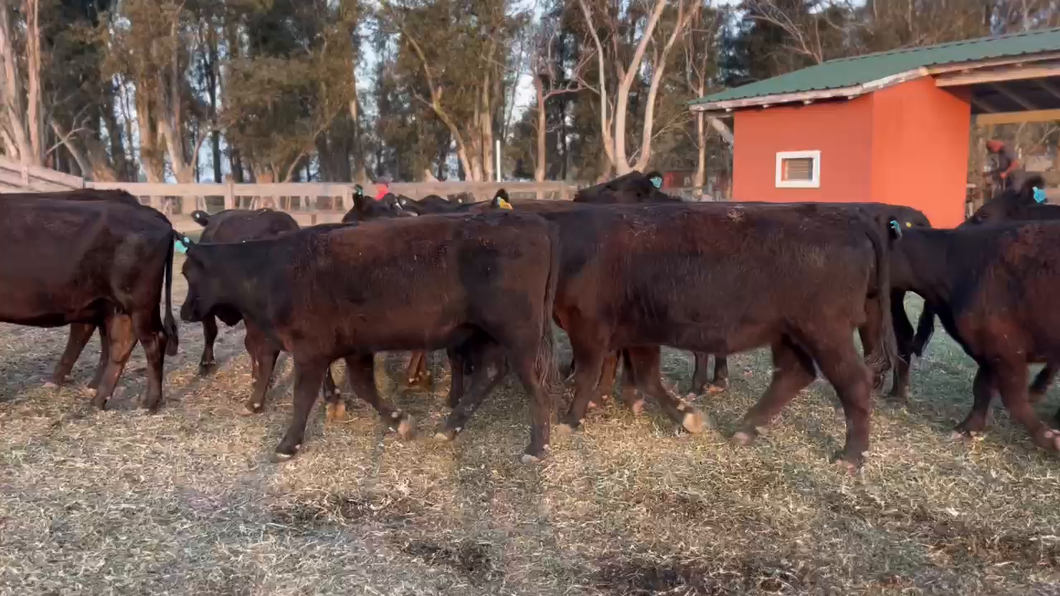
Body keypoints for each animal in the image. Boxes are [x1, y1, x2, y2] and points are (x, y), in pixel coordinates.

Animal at [0, 195, 178, 407]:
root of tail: (152, 213)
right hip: (118, 305)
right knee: (121, 343)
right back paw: (98, 399)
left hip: (139, 303)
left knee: (152, 341)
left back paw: (150, 402)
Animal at [180, 211, 563, 462]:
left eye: (187, 273)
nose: (183, 312)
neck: (270, 270)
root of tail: (534, 223)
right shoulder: (354, 347)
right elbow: (364, 387)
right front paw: (399, 421)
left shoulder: (309, 351)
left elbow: (302, 397)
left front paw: (287, 445)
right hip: (482, 333)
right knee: (489, 373)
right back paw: (450, 427)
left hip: (520, 335)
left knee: (535, 383)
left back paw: (537, 447)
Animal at [890, 220, 1060, 447]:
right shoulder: (986, 349)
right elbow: (982, 388)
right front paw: (967, 428)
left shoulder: (1006, 351)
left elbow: (1013, 399)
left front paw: (1050, 438)